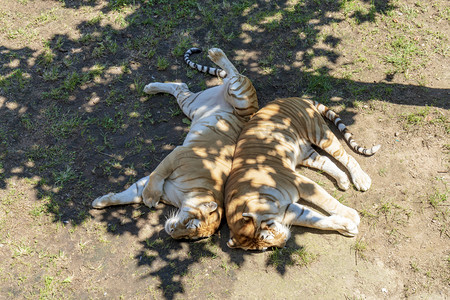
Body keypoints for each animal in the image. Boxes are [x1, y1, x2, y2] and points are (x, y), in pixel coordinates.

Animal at [91, 47, 256, 239]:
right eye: (192, 224)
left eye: (190, 236)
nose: (171, 232)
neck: (186, 196)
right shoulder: (177, 155)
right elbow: (157, 175)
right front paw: (150, 197)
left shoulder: (152, 184)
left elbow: (127, 195)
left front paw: (100, 202)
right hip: (242, 102)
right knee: (236, 74)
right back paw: (215, 53)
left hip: (191, 103)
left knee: (181, 86)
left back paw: (150, 88)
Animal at [225, 97, 380, 250]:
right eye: (264, 248)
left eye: (268, 236)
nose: (283, 244)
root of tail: (294, 98)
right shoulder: (288, 210)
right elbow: (317, 221)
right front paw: (347, 227)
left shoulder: (302, 184)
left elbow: (328, 202)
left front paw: (352, 215)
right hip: (306, 154)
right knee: (326, 161)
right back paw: (343, 181)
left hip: (321, 135)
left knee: (347, 157)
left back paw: (361, 179)